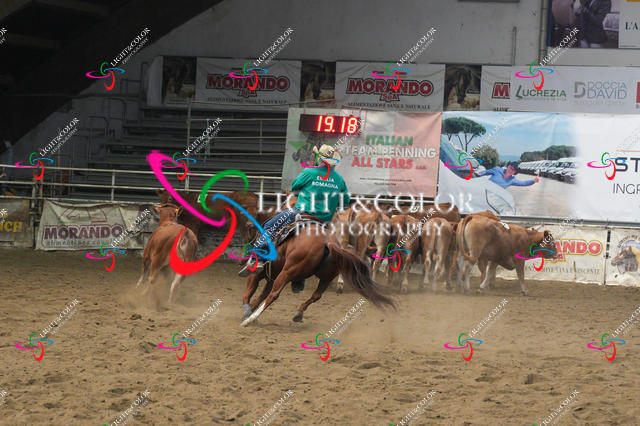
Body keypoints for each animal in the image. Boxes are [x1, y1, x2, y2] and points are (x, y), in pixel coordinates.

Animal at [240, 221, 396, 326]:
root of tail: (328, 242)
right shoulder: (270, 277)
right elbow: (260, 295)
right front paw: (250, 309)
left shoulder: (258, 274)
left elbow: (250, 291)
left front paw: (247, 311)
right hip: (326, 277)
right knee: (316, 295)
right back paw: (298, 313)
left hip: (287, 272)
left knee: (273, 295)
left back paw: (250, 320)